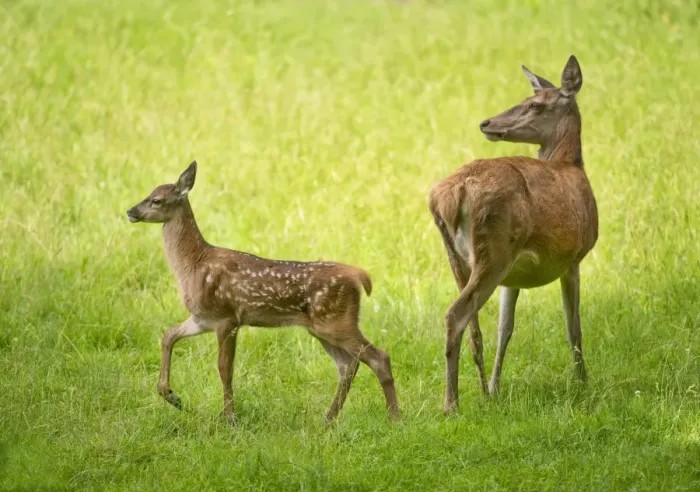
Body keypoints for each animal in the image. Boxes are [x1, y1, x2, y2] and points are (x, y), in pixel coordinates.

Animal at [126, 161, 399, 426]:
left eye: (156, 200)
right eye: (150, 193)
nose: (131, 211)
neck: (194, 264)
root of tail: (359, 276)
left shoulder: (227, 317)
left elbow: (225, 369)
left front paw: (230, 419)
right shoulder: (202, 318)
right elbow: (169, 335)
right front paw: (171, 396)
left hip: (336, 322)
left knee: (379, 357)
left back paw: (394, 418)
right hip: (322, 327)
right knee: (347, 365)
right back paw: (328, 419)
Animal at [429, 55, 598, 413]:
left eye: (533, 104)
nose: (486, 123)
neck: (572, 167)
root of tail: (448, 195)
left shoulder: (514, 277)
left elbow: (505, 329)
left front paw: (495, 388)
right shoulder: (574, 257)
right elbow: (573, 327)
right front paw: (583, 381)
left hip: (459, 256)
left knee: (474, 327)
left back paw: (479, 392)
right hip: (494, 250)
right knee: (456, 314)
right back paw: (451, 404)